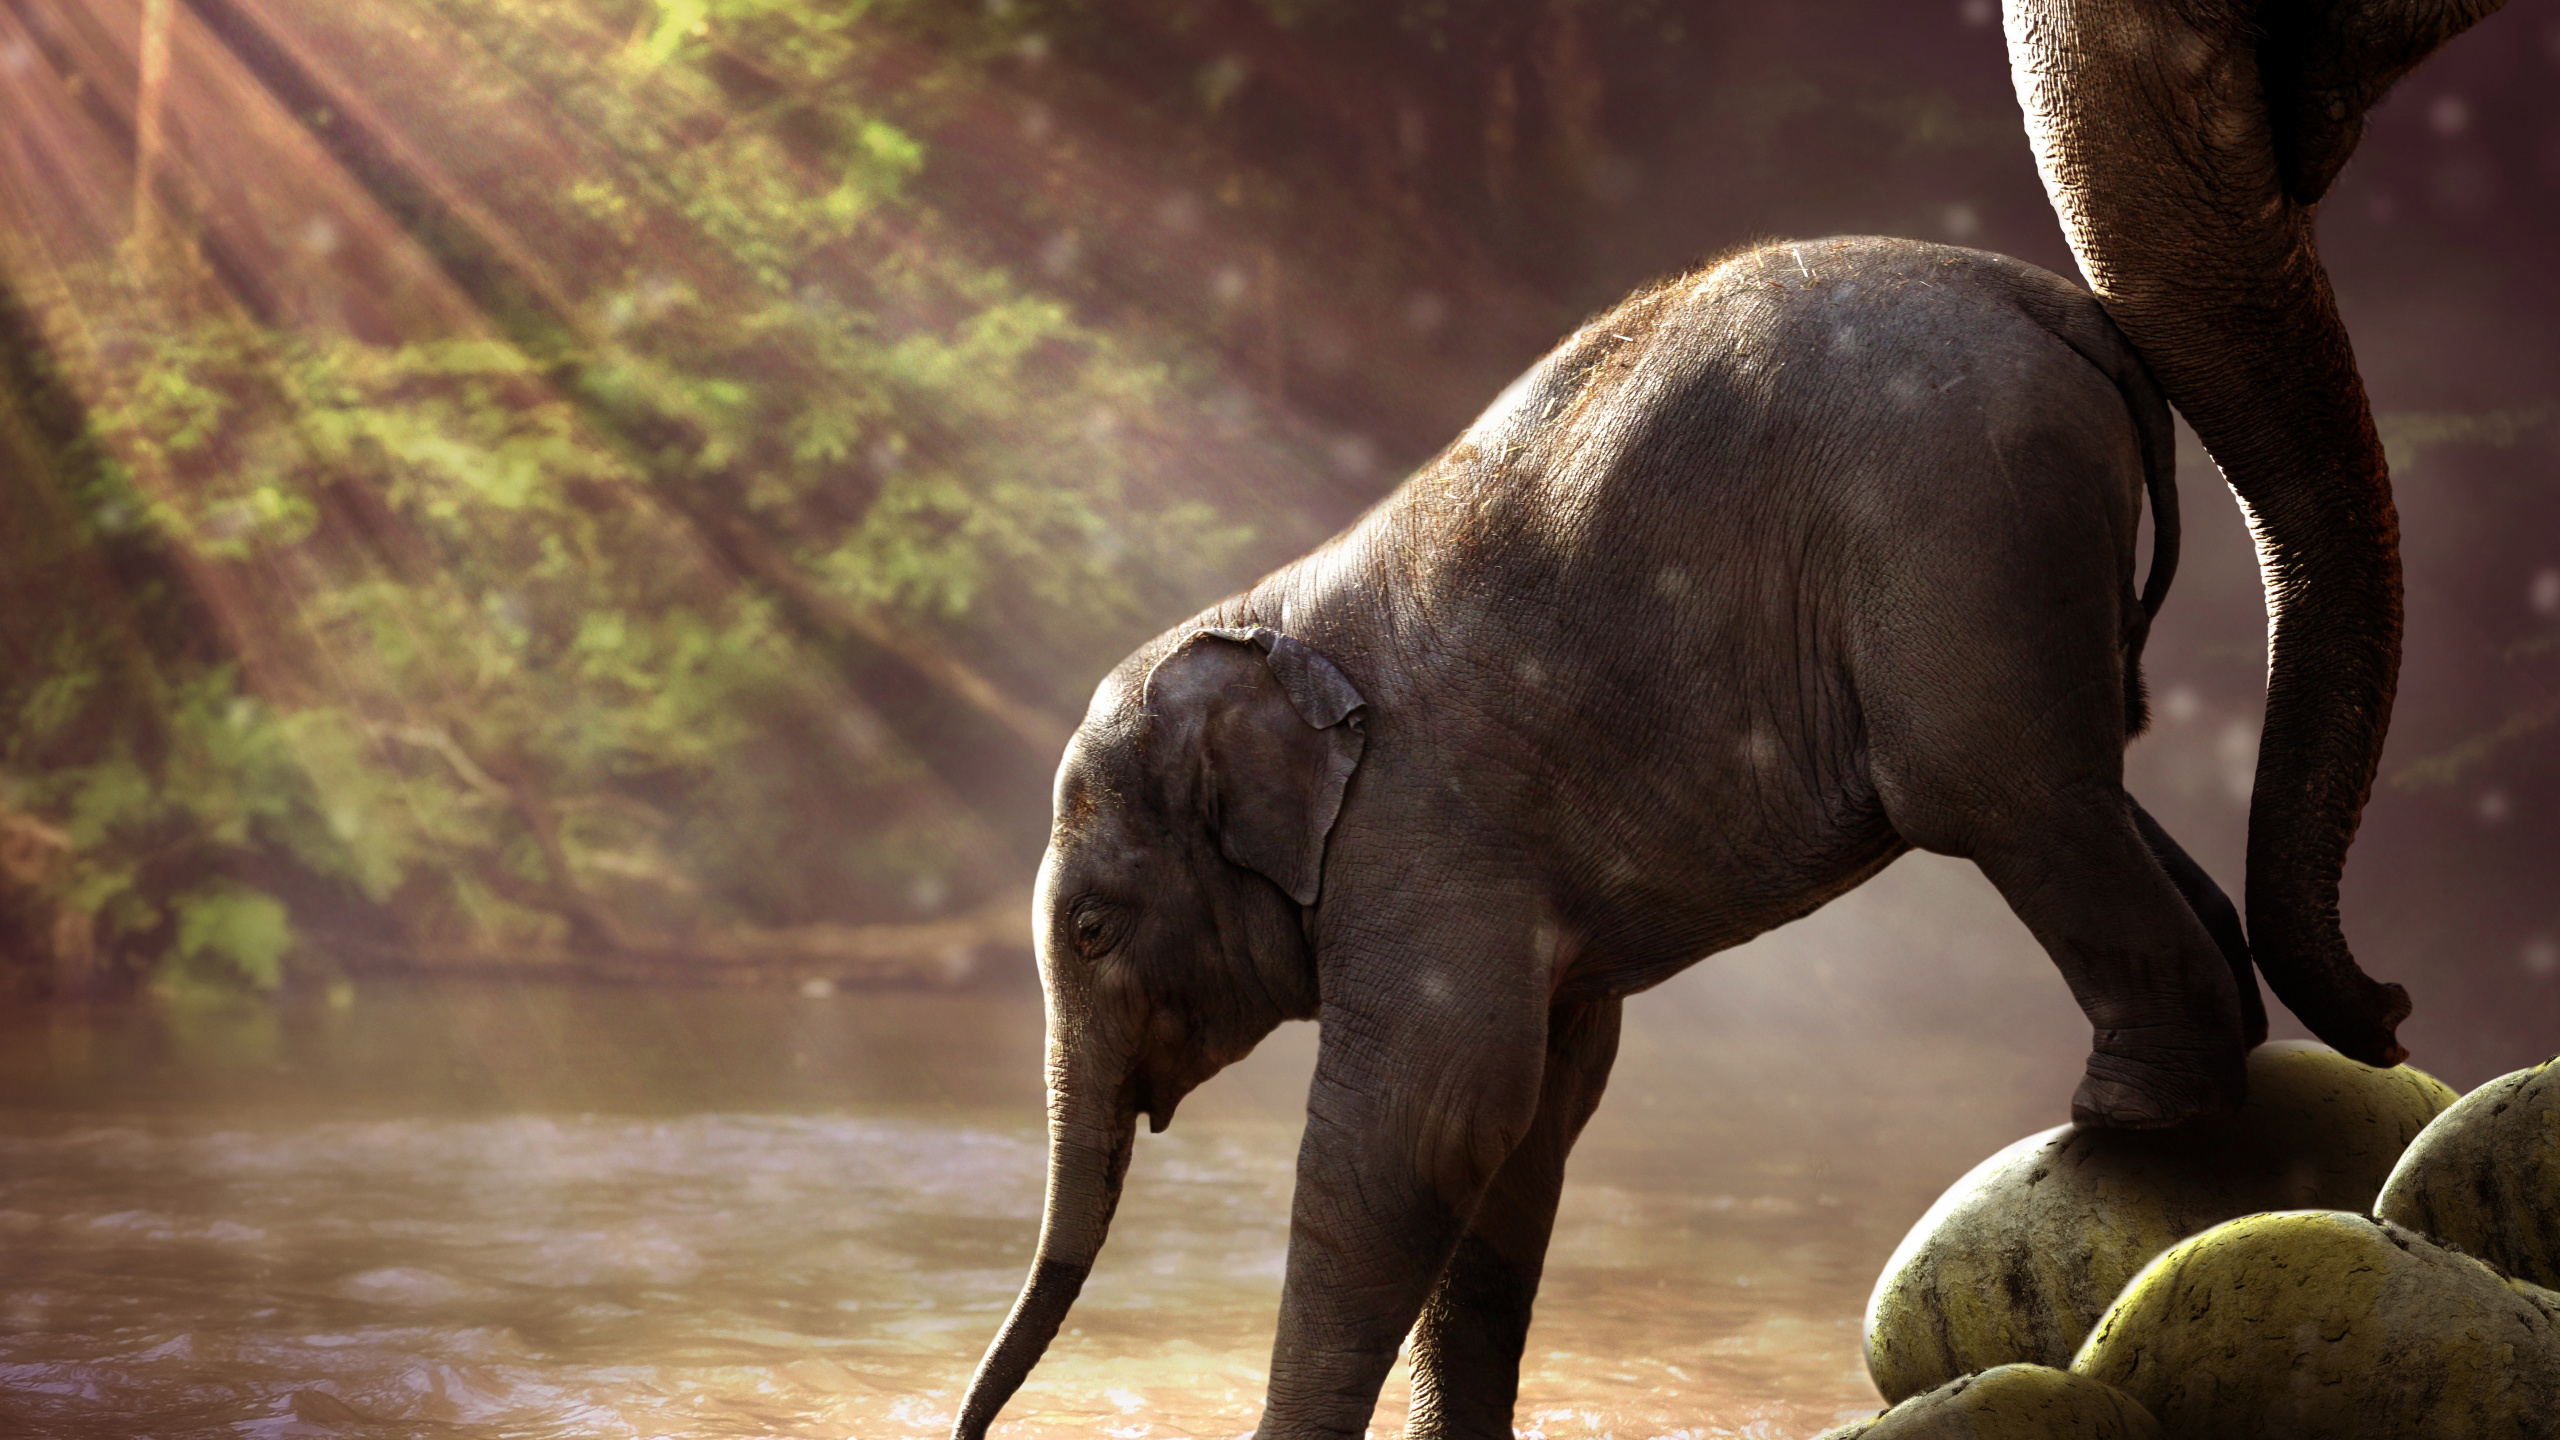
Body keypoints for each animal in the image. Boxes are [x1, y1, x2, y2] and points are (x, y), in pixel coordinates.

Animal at [953, 237, 2283, 1440]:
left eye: (1091, 927)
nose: (968, 1430)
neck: (1259, 621)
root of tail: (2051, 299)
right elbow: (1526, 1125)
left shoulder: (1423, 839)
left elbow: (1416, 1127)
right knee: (2084, 782)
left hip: (1959, 526)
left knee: (1996, 792)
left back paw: (2131, 1114)